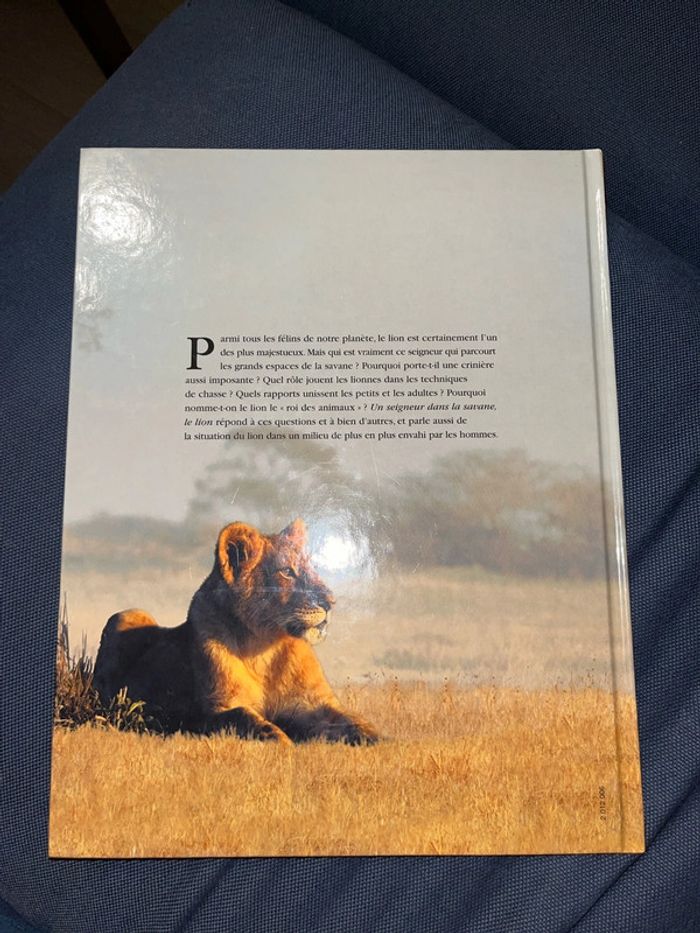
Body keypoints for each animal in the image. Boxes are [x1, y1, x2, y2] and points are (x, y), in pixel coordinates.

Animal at [93, 519, 379, 745]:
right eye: (287, 572)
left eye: (313, 569)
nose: (331, 602)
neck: (264, 646)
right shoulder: (213, 711)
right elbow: (246, 718)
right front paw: (281, 739)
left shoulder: (313, 704)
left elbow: (349, 719)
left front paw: (377, 738)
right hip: (128, 614)